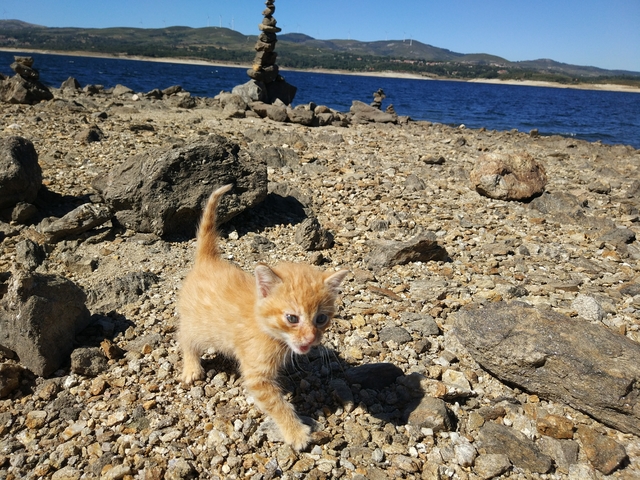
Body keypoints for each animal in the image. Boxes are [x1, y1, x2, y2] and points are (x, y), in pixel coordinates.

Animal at [178, 185, 348, 450]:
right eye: (292, 318)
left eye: (321, 319)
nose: (311, 338)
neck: (266, 329)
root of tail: (207, 260)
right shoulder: (256, 375)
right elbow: (276, 404)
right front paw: (296, 432)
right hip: (196, 324)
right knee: (186, 339)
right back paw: (191, 367)